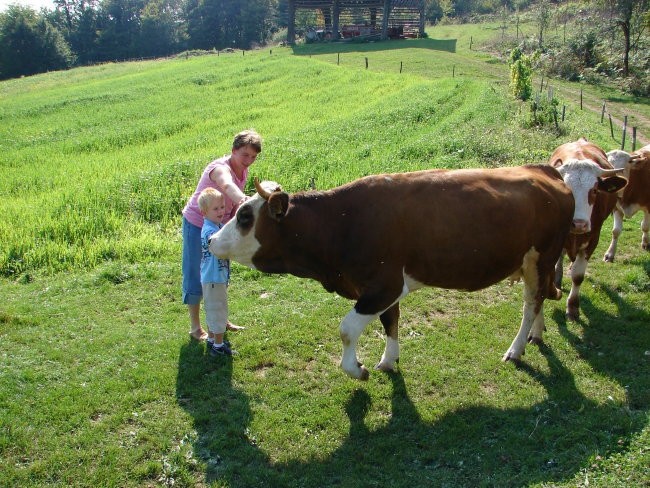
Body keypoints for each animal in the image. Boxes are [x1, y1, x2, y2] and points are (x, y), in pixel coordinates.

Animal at [209, 166, 572, 380]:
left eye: (244, 216)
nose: (211, 241)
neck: (342, 222)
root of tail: (546, 171)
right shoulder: (381, 288)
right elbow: (390, 322)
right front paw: (388, 360)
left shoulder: (385, 285)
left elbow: (346, 330)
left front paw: (357, 369)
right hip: (533, 264)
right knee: (539, 299)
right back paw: (536, 335)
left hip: (541, 258)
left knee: (530, 304)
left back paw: (516, 348)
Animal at [544, 137, 624, 320]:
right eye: (566, 189)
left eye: (594, 190)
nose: (579, 223)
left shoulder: (593, 239)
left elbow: (578, 276)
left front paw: (573, 307)